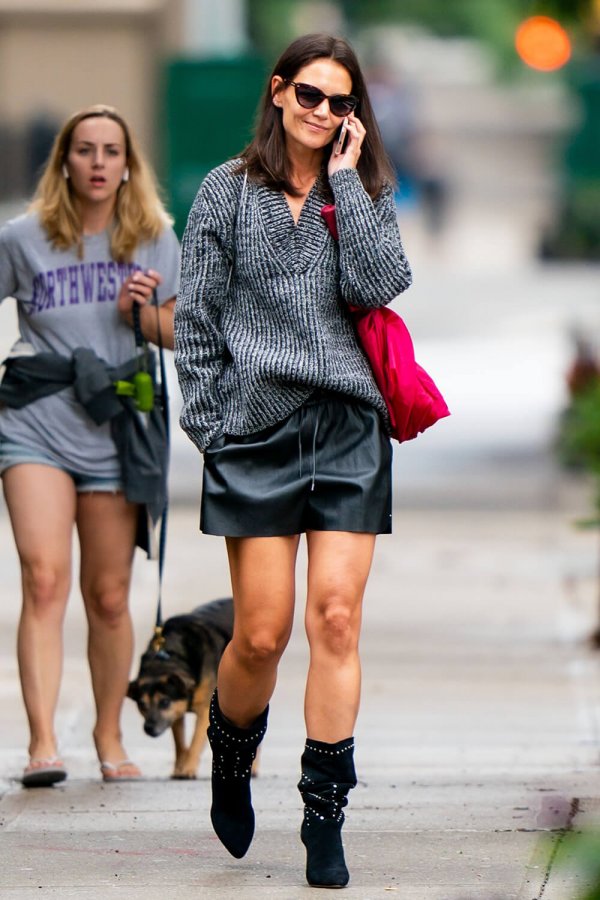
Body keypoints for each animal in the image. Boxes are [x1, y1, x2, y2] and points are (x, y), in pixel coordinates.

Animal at [127, 596, 233, 776]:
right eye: (141, 704)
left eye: (164, 702)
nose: (149, 728)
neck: (168, 658)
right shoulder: (175, 713)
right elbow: (180, 744)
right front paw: (179, 768)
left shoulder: (205, 711)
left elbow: (195, 742)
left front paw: (188, 769)